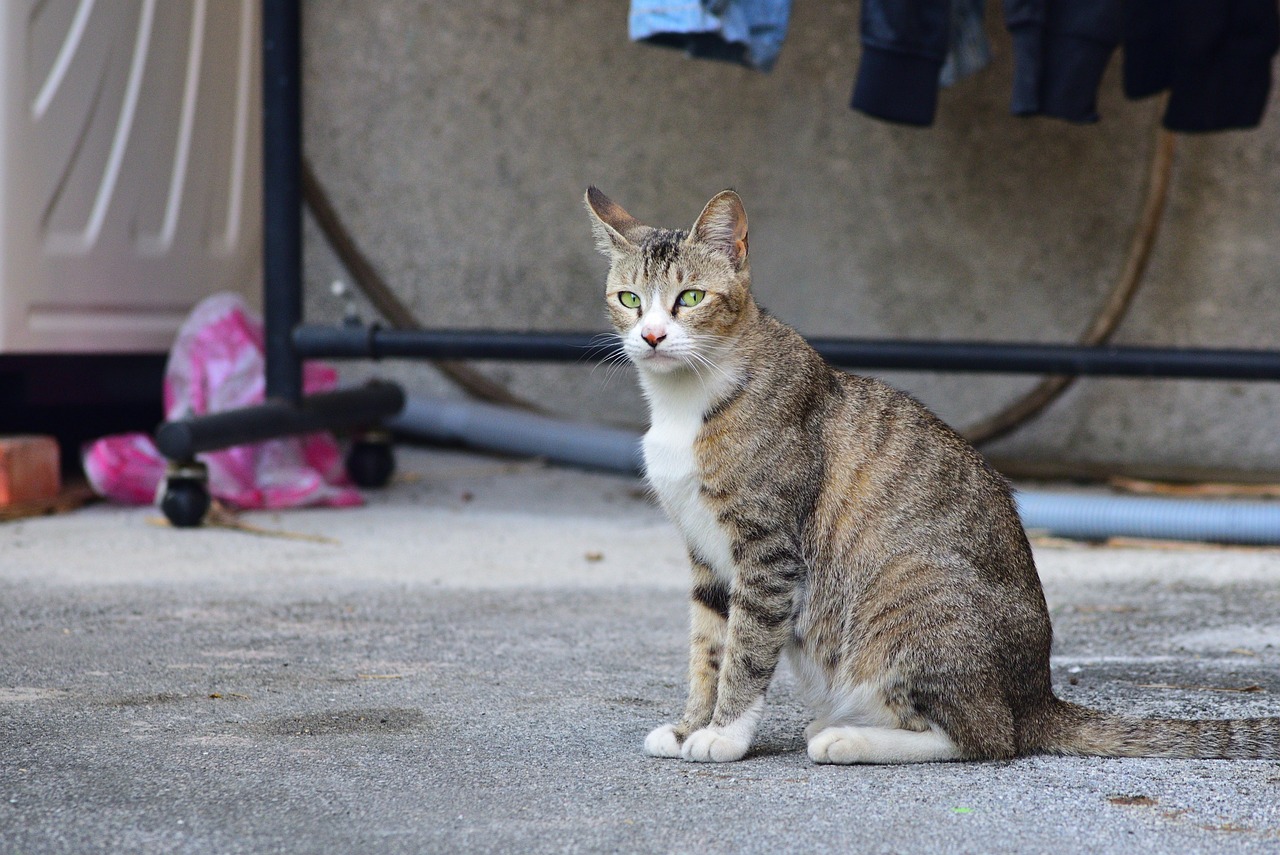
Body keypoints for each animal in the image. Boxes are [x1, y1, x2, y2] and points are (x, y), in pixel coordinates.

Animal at [586, 185, 1280, 762]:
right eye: (629, 299)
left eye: (690, 298)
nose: (652, 336)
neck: (686, 401)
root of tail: (1037, 697)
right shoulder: (706, 557)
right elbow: (708, 647)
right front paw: (689, 725)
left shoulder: (767, 549)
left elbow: (746, 650)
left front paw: (724, 735)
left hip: (909, 592)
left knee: (986, 737)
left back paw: (846, 739)